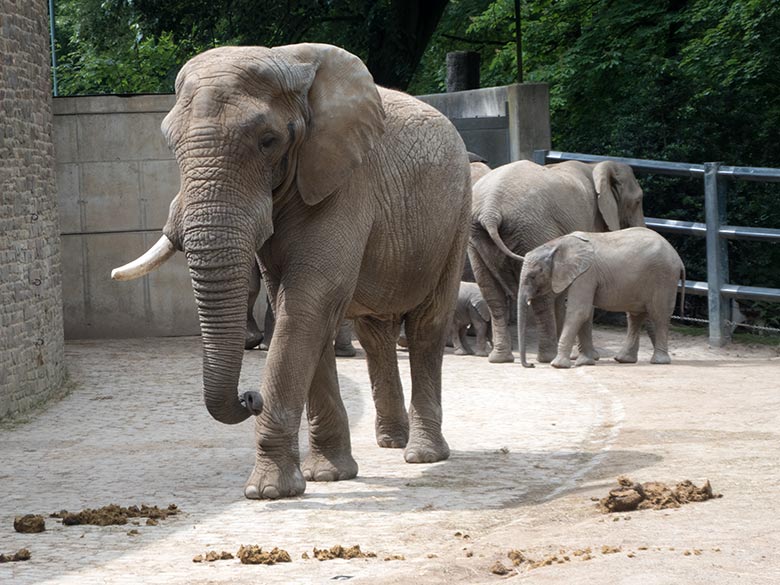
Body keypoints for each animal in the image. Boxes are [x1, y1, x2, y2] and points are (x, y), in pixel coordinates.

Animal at [111, 45, 470, 500]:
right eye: (171, 144)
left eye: (269, 141)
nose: (250, 397)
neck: (288, 62)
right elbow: (296, 307)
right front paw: (328, 476)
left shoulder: (345, 182)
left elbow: (308, 304)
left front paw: (269, 491)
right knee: (375, 333)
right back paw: (391, 442)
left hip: (457, 214)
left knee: (427, 323)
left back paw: (422, 455)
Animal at [470, 157, 644, 362]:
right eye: (638, 201)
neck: (595, 166)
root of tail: (491, 211)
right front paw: (588, 356)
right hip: (533, 230)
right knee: (540, 298)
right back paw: (548, 356)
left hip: (477, 237)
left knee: (491, 294)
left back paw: (500, 358)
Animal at [516, 226, 684, 368]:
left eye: (532, 276)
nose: (531, 365)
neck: (556, 245)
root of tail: (678, 258)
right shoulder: (583, 276)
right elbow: (586, 313)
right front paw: (585, 362)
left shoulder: (586, 274)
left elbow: (579, 312)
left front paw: (558, 365)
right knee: (635, 317)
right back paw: (624, 359)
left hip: (664, 278)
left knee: (659, 315)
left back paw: (659, 361)